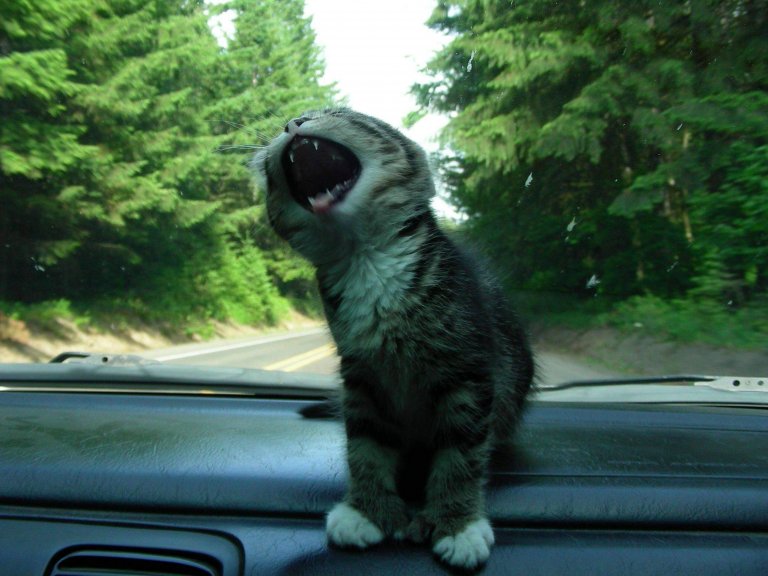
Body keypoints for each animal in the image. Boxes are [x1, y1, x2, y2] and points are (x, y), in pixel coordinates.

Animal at [252, 107, 536, 568]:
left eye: (336, 113)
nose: (293, 121)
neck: (366, 257)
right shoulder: (361, 375)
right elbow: (365, 445)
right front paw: (367, 510)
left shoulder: (468, 366)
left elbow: (461, 454)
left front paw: (457, 523)